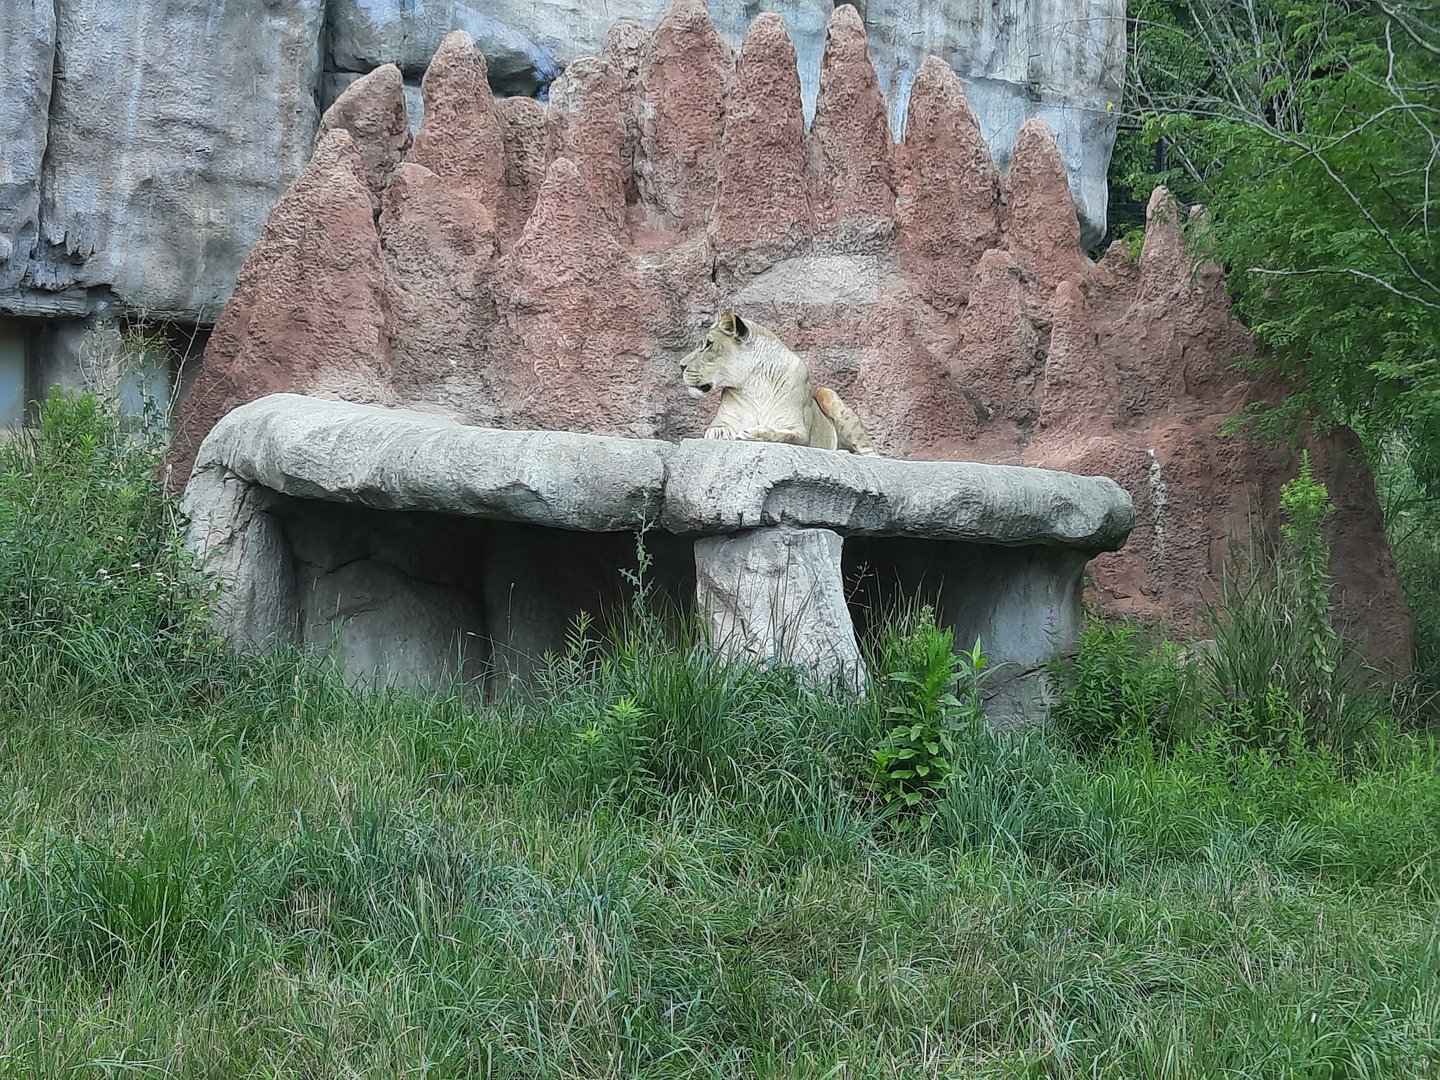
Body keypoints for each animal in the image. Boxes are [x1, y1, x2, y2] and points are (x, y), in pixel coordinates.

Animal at [679, 311, 881, 456]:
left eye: (708, 345)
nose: (680, 366)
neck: (755, 384)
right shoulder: (722, 419)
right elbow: (716, 427)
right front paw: (720, 433)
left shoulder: (799, 430)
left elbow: (780, 434)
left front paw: (753, 434)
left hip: (827, 393)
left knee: (872, 454)